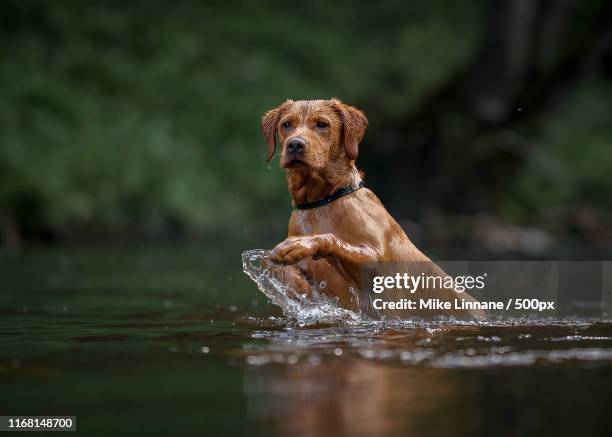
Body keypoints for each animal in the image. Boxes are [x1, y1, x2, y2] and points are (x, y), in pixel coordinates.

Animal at [260, 98, 486, 316]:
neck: (321, 203)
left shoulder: (375, 264)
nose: (295, 145)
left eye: (322, 124)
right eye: (286, 124)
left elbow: (331, 240)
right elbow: (273, 265)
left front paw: (298, 245)